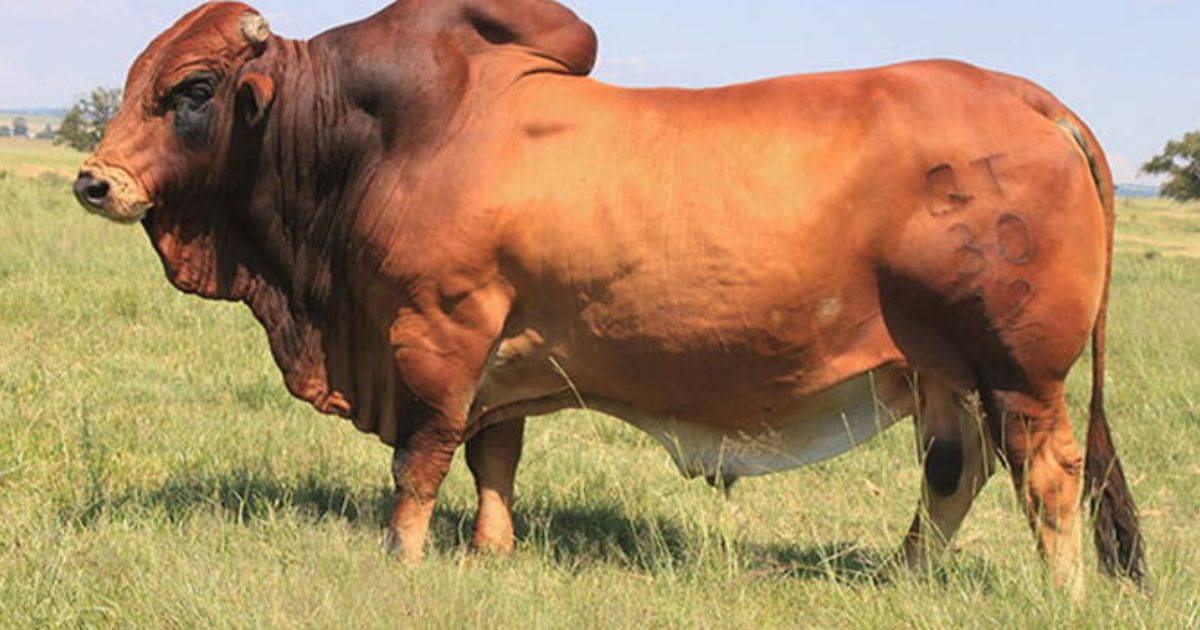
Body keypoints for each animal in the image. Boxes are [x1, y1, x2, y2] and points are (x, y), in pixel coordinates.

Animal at [73, 0, 1145, 595]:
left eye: (193, 88)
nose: (94, 181)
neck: (375, 139)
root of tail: (1033, 100)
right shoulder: (502, 357)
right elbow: (493, 458)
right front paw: (492, 553)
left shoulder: (439, 333)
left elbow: (420, 462)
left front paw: (403, 560)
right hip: (939, 371)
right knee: (954, 472)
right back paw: (900, 578)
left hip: (1017, 370)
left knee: (1047, 477)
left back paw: (1060, 595)